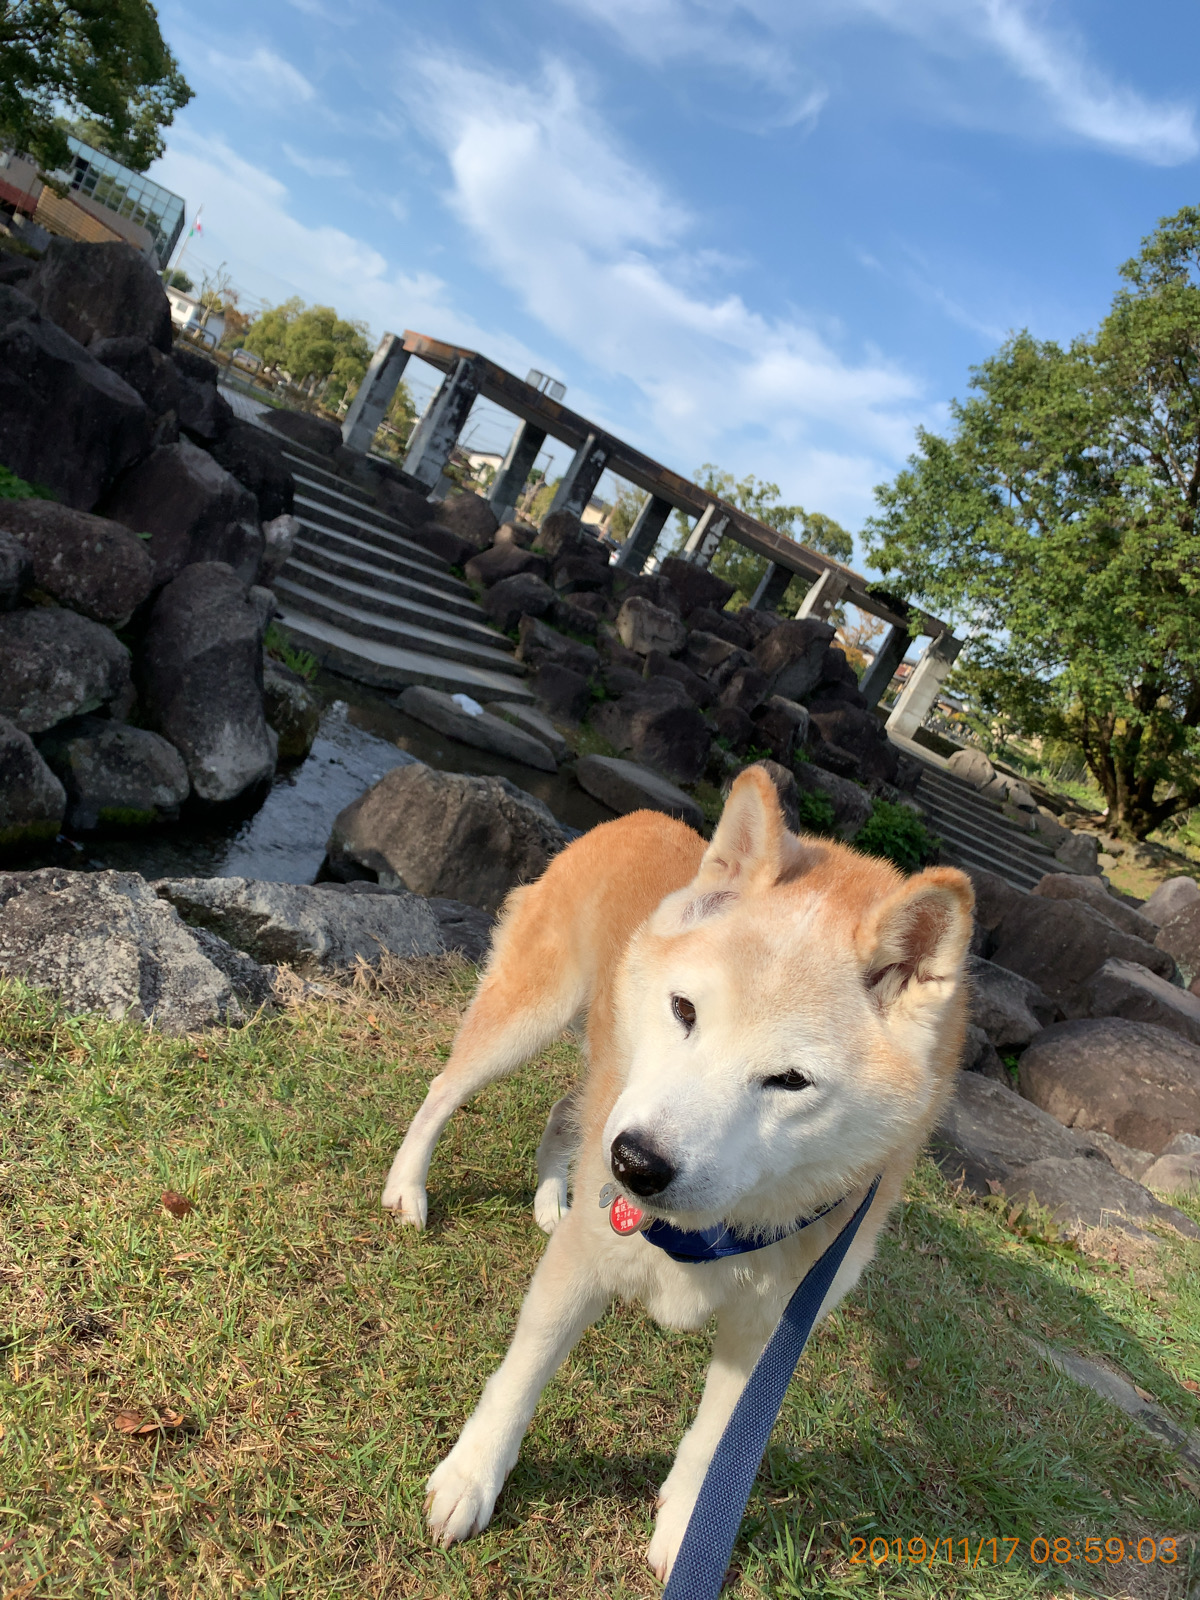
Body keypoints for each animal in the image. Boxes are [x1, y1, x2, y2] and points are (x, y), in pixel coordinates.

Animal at [382, 765, 974, 1581]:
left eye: (790, 1081)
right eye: (685, 1009)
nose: (635, 1164)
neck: (716, 1227)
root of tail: (642, 816)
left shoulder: (771, 1330)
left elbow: (714, 1443)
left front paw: (689, 1529)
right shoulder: (583, 1260)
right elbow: (521, 1377)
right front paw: (472, 1479)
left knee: (568, 1112)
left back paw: (552, 1196)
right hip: (532, 1017)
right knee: (447, 1090)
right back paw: (409, 1186)